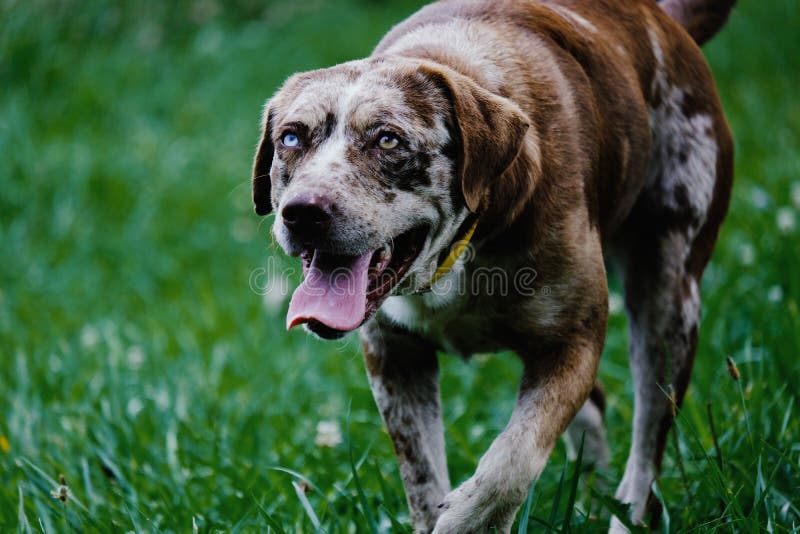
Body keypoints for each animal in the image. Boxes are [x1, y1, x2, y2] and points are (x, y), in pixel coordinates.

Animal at [253, 0, 736, 532]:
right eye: (290, 138)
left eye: (388, 140)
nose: (303, 212)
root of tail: (667, 21)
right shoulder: (394, 353)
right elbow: (422, 475)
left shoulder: (574, 341)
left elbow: (515, 455)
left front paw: (469, 519)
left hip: (669, 298)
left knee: (649, 438)